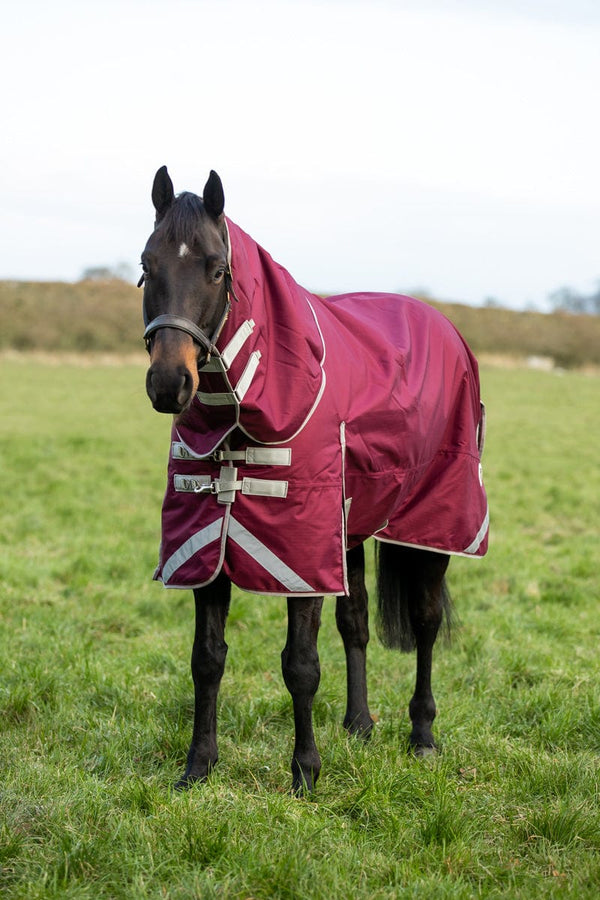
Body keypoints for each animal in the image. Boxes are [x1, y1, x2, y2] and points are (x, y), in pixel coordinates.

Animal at [139, 165, 488, 792]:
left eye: (217, 268)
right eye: (146, 265)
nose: (169, 383)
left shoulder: (298, 555)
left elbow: (300, 664)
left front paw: (305, 772)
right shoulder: (208, 544)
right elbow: (207, 658)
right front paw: (198, 766)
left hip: (431, 525)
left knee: (425, 624)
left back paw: (422, 736)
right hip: (350, 529)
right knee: (357, 622)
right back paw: (360, 723)